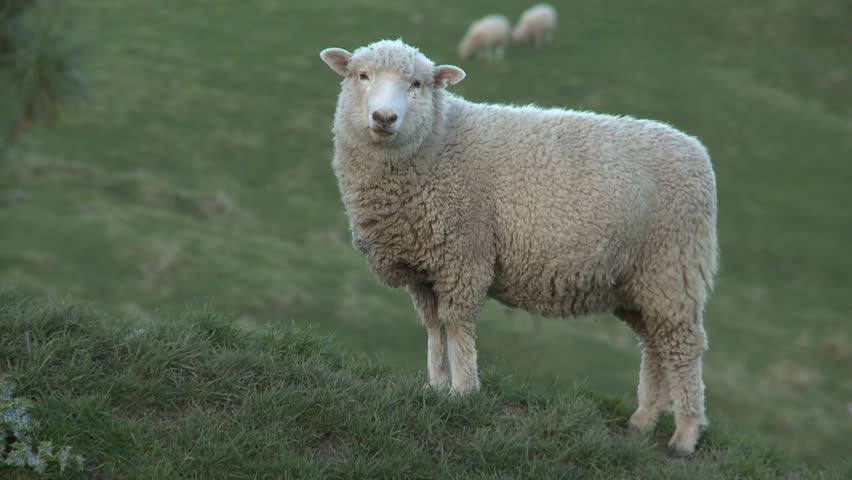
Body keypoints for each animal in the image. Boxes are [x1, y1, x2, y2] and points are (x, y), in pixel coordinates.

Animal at [319, 39, 718, 457]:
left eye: (416, 84)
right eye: (362, 76)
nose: (384, 117)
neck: (438, 141)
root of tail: (697, 152)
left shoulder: (464, 256)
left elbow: (457, 326)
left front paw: (464, 392)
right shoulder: (424, 268)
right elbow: (433, 327)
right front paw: (436, 386)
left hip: (673, 267)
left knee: (684, 347)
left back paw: (686, 434)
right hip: (637, 283)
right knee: (655, 345)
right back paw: (643, 420)